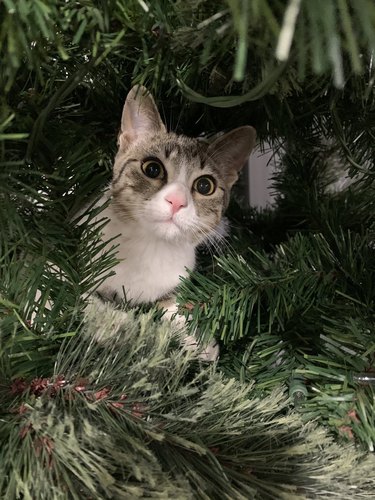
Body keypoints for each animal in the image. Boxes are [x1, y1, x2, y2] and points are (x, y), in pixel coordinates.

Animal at [95, 87, 258, 356]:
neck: (149, 248)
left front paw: (196, 335)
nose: (177, 201)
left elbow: (172, 300)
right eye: (152, 169)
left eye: (205, 186)